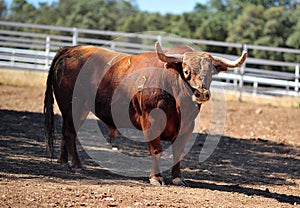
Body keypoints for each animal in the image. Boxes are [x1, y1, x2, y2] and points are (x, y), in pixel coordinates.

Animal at [44, 42, 246, 185]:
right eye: (186, 71)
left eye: (211, 73)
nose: (202, 93)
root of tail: (70, 49)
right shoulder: (151, 121)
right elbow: (156, 150)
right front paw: (156, 178)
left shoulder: (188, 127)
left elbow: (178, 152)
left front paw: (177, 178)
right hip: (73, 105)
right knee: (70, 132)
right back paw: (77, 165)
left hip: (76, 109)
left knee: (67, 131)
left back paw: (64, 162)